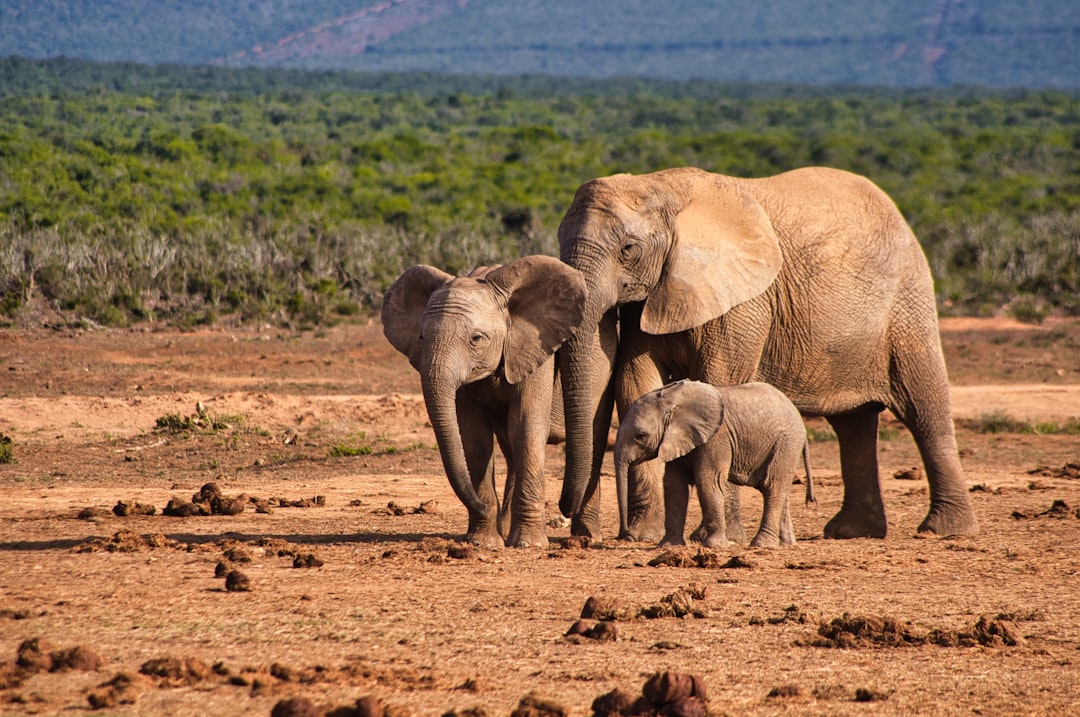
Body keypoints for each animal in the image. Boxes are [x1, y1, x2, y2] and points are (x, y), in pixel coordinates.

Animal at [613, 380, 812, 548]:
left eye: (640, 436)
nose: (626, 536)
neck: (672, 399)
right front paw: (669, 546)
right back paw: (785, 544)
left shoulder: (716, 437)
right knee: (781, 489)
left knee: (772, 485)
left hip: (787, 442)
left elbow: (708, 480)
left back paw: (762, 545)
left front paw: (715, 546)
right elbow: (675, 485)